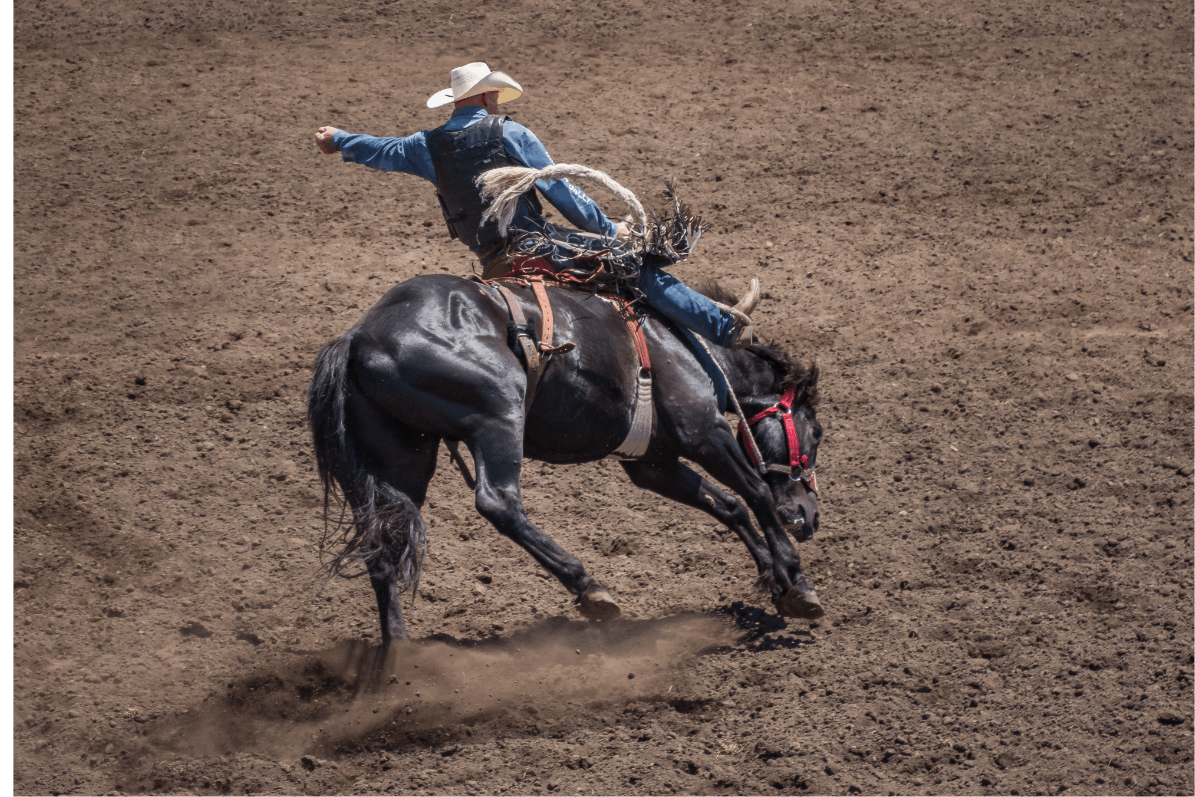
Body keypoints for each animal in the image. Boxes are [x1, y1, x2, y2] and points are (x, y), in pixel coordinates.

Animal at [308, 167, 826, 640]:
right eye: (816, 432)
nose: (810, 516)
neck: (690, 345)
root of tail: (356, 337)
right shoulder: (705, 432)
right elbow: (756, 492)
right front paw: (796, 580)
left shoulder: (652, 462)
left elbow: (728, 505)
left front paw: (776, 580)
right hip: (497, 415)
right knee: (498, 502)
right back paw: (590, 588)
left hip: (403, 456)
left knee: (384, 538)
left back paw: (399, 650)